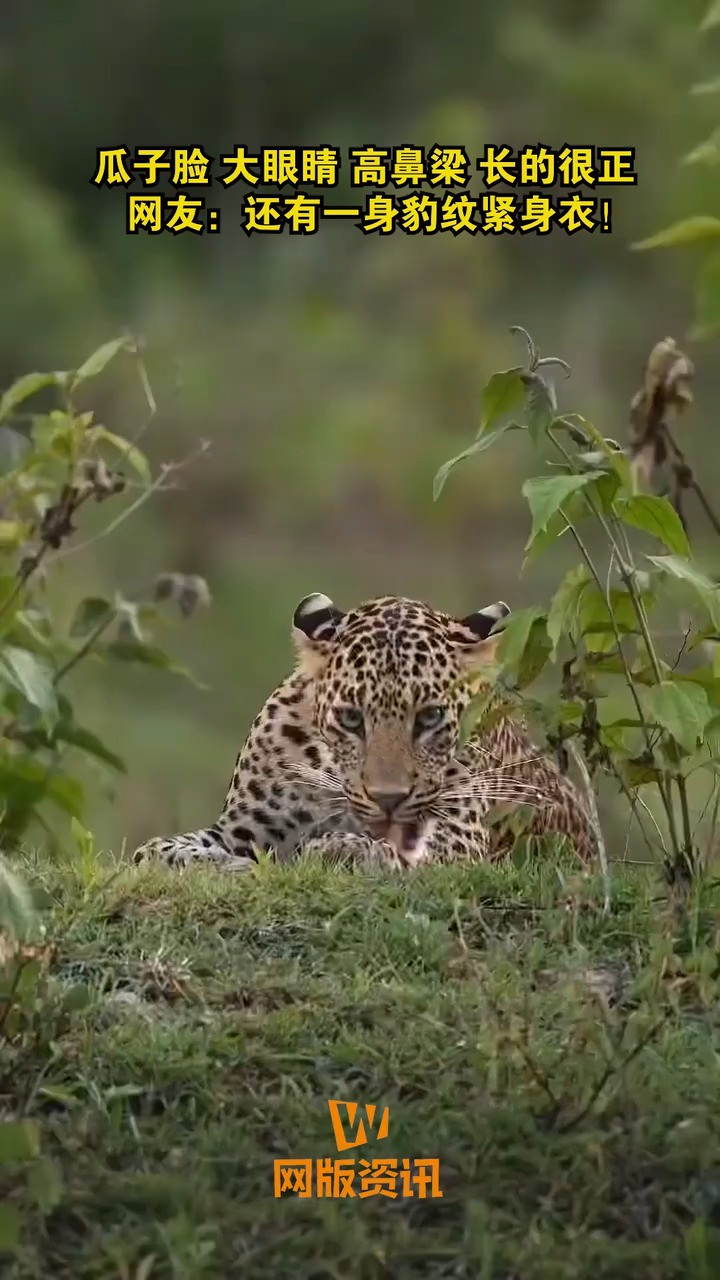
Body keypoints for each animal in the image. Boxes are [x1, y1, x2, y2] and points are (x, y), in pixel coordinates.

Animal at [131, 593, 597, 875]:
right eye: (352, 719)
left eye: (430, 717)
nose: (388, 799)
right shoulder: (242, 830)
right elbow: (155, 849)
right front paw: (219, 864)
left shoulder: (460, 836)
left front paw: (340, 849)